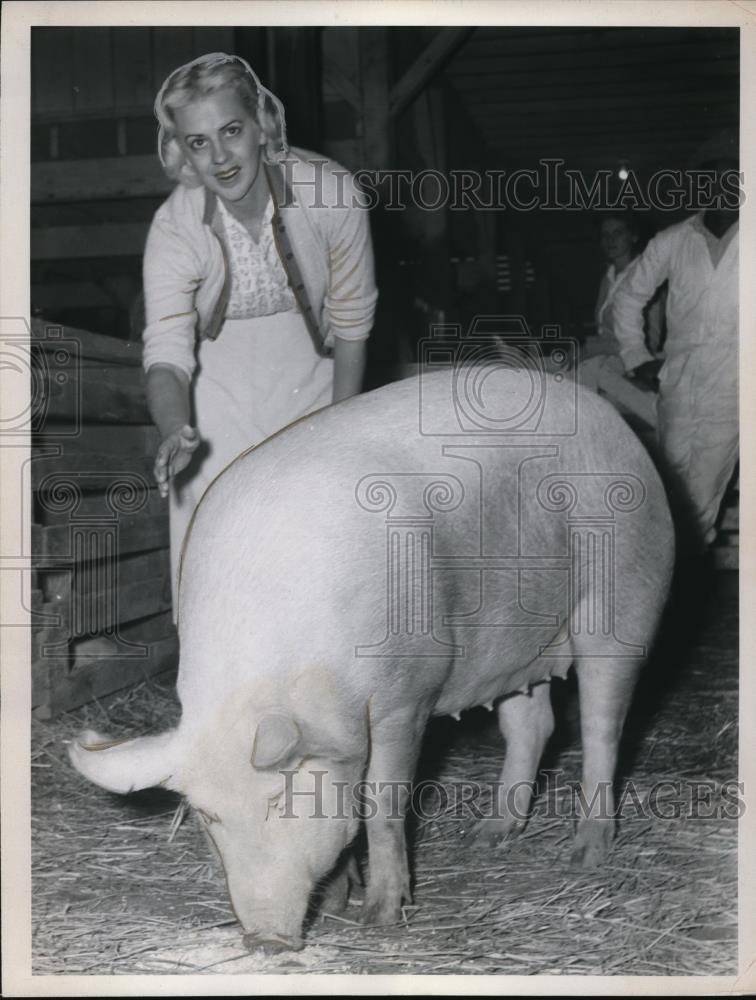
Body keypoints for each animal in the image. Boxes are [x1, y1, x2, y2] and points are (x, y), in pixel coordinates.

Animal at [71, 366, 672, 952]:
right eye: (208, 816)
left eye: (283, 801)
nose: (266, 941)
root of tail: (619, 426)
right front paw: (340, 902)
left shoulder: (406, 695)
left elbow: (381, 805)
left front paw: (379, 919)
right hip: (515, 650)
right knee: (534, 725)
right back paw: (486, 837)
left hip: (625, 598)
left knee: (601, 727)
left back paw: (585, 854)